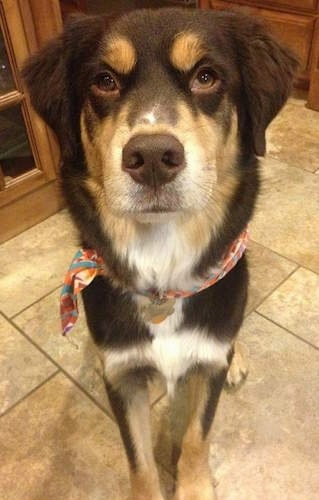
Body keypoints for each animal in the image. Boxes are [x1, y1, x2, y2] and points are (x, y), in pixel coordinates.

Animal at [23, 8, 298, 500]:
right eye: (105, 80)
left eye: (206, 76)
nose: (151, 156)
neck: (163, 265)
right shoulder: (124, 379)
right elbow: (140, 461)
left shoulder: (207, 361)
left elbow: (196, 436)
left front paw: (194, 487)